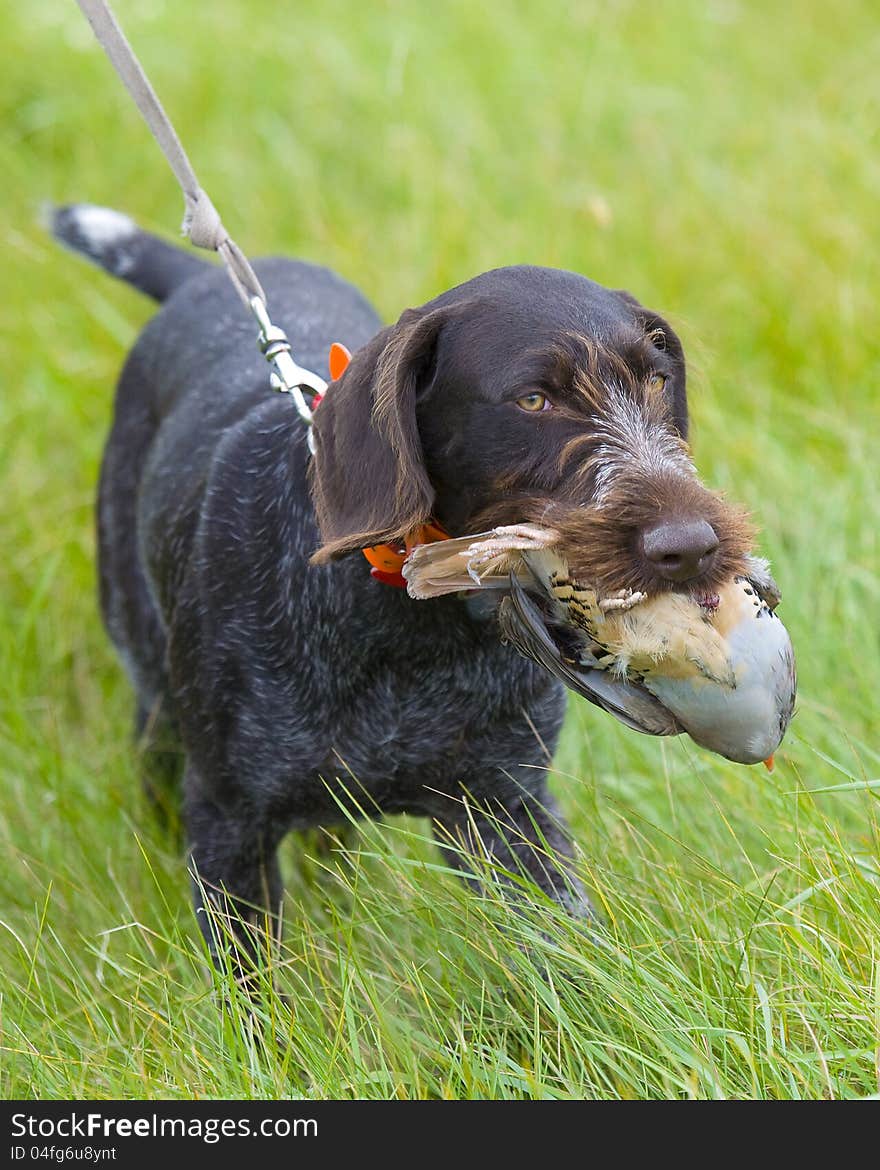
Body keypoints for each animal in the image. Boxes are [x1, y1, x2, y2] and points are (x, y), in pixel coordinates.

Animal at [51, 205, 753, 964]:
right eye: (533, 399)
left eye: (655, 381)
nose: (692, 546)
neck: (409, 624)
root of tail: (199, 284)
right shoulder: (228, 825)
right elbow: (253, 987)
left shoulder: (505, 808)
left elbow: (566, 958)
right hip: (153, 696)